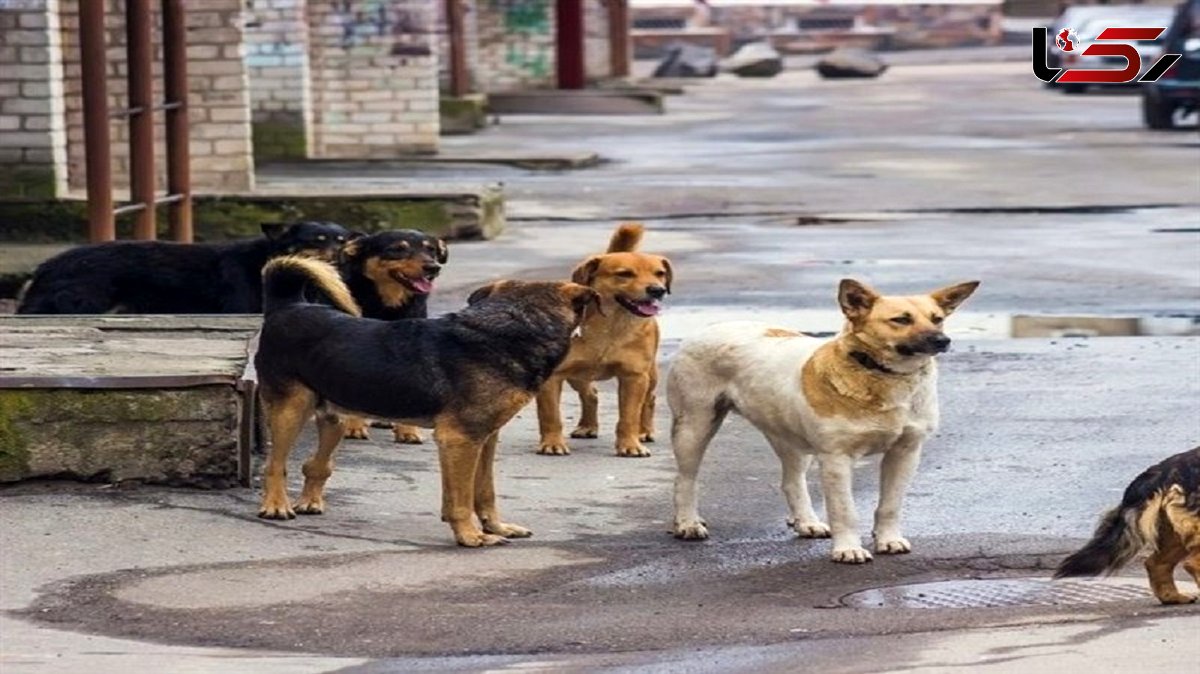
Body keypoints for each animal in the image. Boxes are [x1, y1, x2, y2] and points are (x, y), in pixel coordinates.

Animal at [254, 255, 600, 546]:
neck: (515, 326)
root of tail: (288, 305)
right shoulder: (459, 439)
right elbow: (461, 499)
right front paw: (470, 536)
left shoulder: (485, 439)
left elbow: (484, 492)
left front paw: (496, 527)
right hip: (290, 410)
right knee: (275, 464)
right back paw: (276, 506)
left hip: (333, 417)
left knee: (316, 464)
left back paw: (309, 501)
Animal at [338, 227, 451, 443]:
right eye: (397, 249)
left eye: (431, 249)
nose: (433, 268)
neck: (388, 306)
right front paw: (353, 427)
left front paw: (408, 431)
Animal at [537, 220, 672, 455]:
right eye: (624, 274)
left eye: (660, 273)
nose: (658, 290)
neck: (610, 326)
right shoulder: (552, 377)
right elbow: (551, 415)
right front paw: (552, 443)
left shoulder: (634, 376)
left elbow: (629, 417)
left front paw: (630, 445)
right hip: (577, 375)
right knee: (590, 394)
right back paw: (587, 426)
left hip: (650, 374)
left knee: (649, 399)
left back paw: (644, 431)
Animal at [672, 277, 979, 561]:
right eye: (901, 319)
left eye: (937, 319)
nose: (942, 340)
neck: (880, 374)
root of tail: (712, 327)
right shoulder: (836, 459)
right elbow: (844, 510)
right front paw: (848, 549)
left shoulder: (905, 452)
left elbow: (890, 505)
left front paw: (888, 540)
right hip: (694, 428)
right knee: (685, 480)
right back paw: (687, 523)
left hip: (790, 439)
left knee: (792, 481)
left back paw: (807, 522)